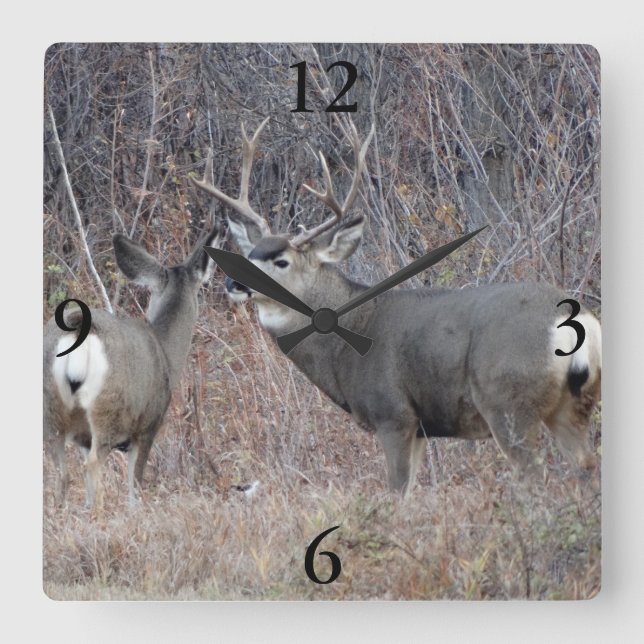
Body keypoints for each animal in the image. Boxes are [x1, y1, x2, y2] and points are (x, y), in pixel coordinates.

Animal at [43, 225, 219, 507]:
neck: (166, 352)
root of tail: (78, 323)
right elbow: (134, 484)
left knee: (62, 474)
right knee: (92, 465)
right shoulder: (148, 424)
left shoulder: (84, 437)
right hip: (109, 409)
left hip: (50, 408)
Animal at [191, 118, 601, 494]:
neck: (343, 342)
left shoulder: (393, 414)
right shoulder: (418, 428)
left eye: (281, 261)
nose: (232, 283)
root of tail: (575, 322)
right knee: (586, 465)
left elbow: (397, 493)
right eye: (249, 254)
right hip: (571, 405)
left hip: (507, 402)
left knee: (537, 477)